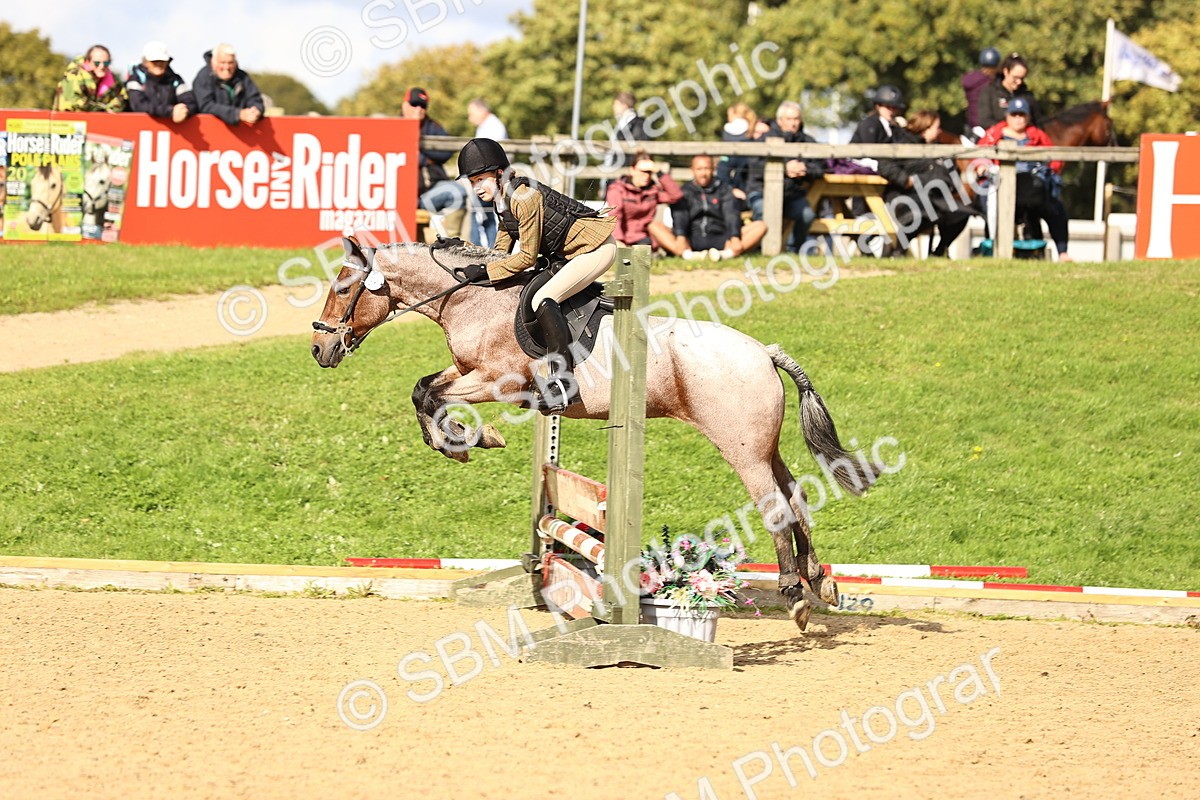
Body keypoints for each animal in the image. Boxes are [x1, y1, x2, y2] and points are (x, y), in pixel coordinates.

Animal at [310, 238, 881, 631]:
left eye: (344, 288)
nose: (320, 350)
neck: (471, 299)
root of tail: (764, 352)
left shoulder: (496, 381)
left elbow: (431, 396)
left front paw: (472, 440)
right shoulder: (468, 372)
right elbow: (424, 390)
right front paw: (463, 441)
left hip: (741, 449)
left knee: (775, 506)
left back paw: (795, 595)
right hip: (766, 446)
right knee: (797, 495)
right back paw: (820, 579)